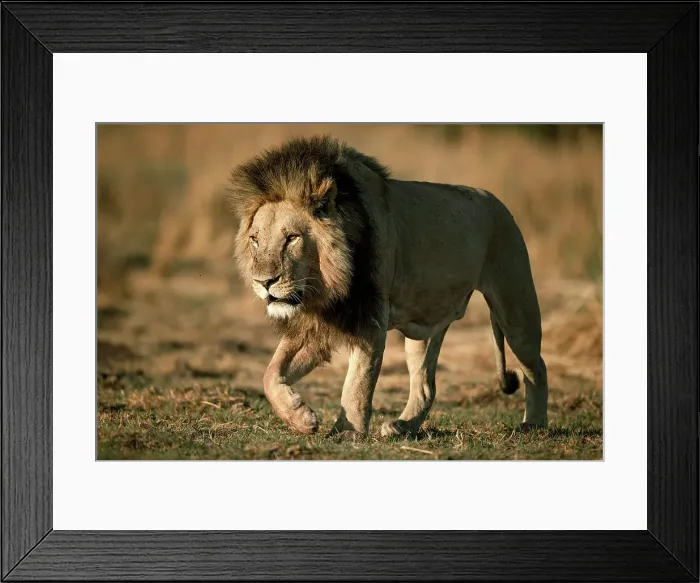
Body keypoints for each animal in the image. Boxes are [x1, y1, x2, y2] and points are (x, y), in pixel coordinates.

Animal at [227, 135, 548, 437]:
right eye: (255, 240)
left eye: (292, 238)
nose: (263, 282)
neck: (325, 286)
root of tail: (496, 201)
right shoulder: (317, 322)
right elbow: (270, 373)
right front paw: (301, 417)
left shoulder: (370, 318)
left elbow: (357, 384)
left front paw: (347, 433)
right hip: (423, 327)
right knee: (426, 386)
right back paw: (402, 427)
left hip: (515, 305)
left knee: (536, 367)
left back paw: (533, 424)